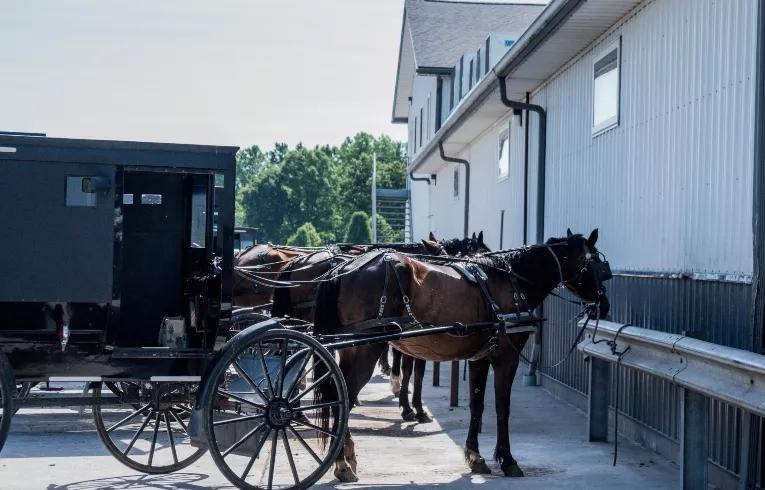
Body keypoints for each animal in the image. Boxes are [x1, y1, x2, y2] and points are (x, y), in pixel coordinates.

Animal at [310, 231, 608, 482]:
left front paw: (475, 457)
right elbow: (502, 407)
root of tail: (344, 268)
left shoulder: (480, 358)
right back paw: (342, 463)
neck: (511, 281)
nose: (603, 306)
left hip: (350, 348)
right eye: (598, 266)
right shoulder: (506, 358)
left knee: (339, 395)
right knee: (343, 398)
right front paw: (508, 460)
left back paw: (346, 456)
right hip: (365, 349)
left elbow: (477, 406)